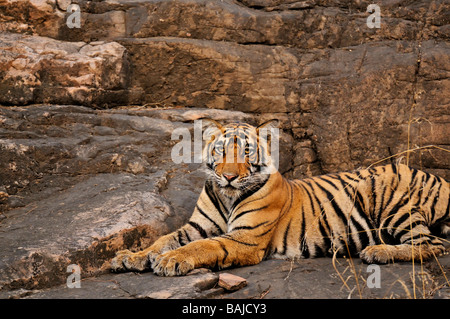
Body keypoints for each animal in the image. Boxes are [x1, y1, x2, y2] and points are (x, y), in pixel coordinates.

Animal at [110, 120, 450, 278]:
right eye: (221, 150)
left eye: (247, 152)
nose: (229, 177)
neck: (227, 196)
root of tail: (440, 179)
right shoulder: (196, 226)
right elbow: (163, 239)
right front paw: (130, 256)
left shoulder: (244, 238)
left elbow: (203, 246)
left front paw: (170, 260)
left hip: (392, 201)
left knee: (432, 245)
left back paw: (377, 252)